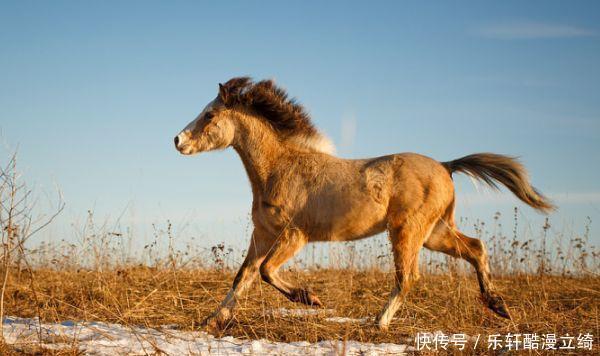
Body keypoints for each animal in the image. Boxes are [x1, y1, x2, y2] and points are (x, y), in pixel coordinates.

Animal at [172, 76, 552, 330]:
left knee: (408, 276)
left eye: (209, 115)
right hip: (435, 233)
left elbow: (265, 271)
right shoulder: (263, 234)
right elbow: (244, 275)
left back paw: (378, 322)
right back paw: (497, 304)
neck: (281, 167)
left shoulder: (294, 235)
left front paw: (310, 298)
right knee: (475, 248)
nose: (177, 140)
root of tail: (446, 166)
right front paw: (211, 321)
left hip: (407, 231)